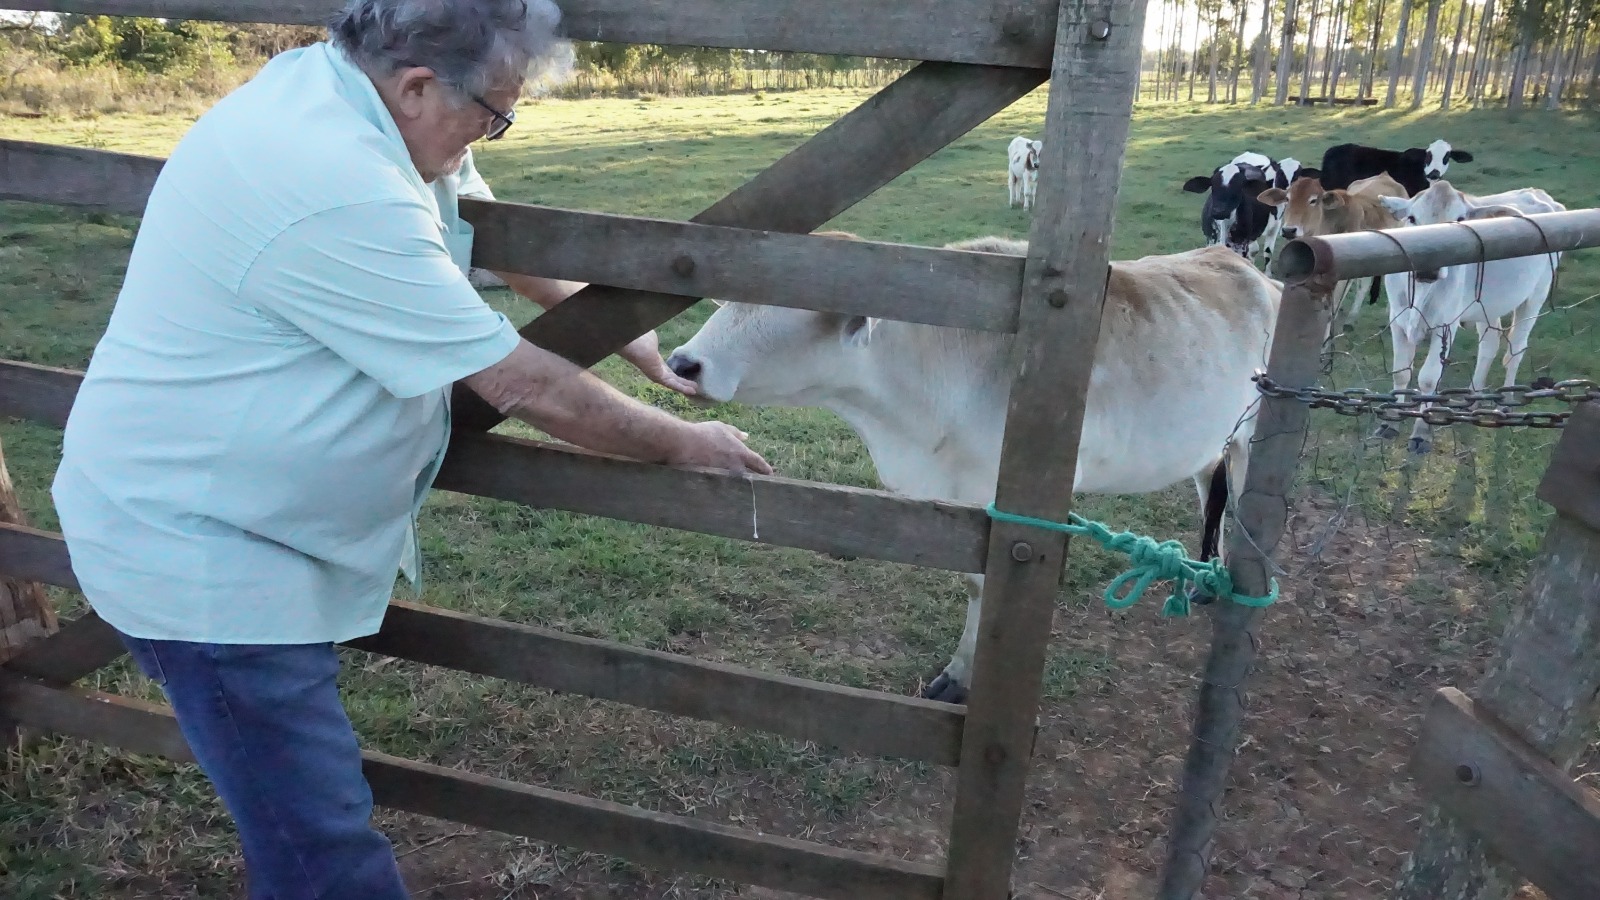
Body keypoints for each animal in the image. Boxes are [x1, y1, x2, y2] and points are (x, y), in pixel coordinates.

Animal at [659, 232, 1273, 701]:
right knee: (1209, 487)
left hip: (1251, 435)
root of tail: (1247, 269)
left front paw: (961, 677)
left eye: (779, 305)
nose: (682, 362)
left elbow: (986, 588)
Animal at [1376, 179, 1561, 451]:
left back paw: (1506, 401)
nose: (1429, 267)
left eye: (1460, 220)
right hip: (1487, 306)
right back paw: (1473, 398)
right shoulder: (1397, 322)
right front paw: (1390, 421)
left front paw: (1421, 434)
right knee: (1490, 344)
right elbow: (1401, 373)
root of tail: (1538, 193)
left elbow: (1429, 379)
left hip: (1535, 296)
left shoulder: (1446, 326)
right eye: (1412, 218)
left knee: (1515, 349)